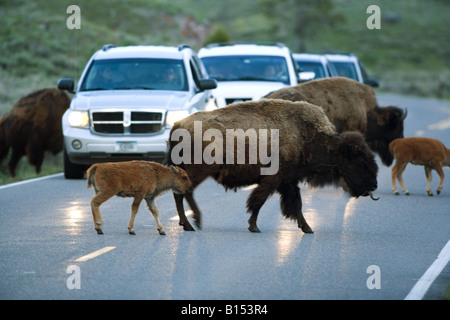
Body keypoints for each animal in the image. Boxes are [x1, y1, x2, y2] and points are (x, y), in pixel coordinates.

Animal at [167, 99, 378, 234]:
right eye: (361, 162)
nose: (373, 185)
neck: (305, 135)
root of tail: (178, 125)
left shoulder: (289, 181)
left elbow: (296, 204)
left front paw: (307, 228)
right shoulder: (274, 179)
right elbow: (259, 201)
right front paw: (254, 227)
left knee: (180, 195)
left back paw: (186, 224)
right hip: (197, 171)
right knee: (185, 193)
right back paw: (195, 222)